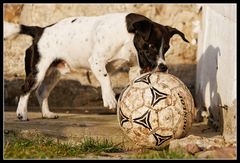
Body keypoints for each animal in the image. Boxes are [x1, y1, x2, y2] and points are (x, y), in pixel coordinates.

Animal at [2, 12, 188, 119]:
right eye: (150, 46)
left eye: (166, 48)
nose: (163, 67)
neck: (126, 36)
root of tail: (40, 31)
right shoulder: (96, 61)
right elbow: (106, 79)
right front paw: (109, 98)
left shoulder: (135, 68)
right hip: (38, 71)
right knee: (25, 89)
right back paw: (22, 113)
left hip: (54, 74)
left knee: (41, 92)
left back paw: (47, 114)